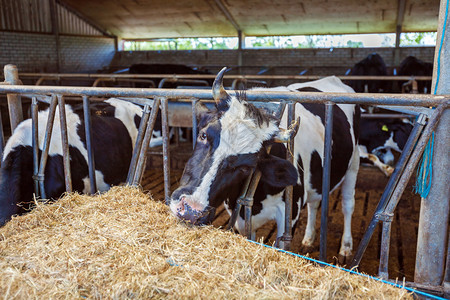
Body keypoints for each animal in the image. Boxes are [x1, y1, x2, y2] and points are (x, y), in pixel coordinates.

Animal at [168, 68, 358, 260]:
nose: (191, 210)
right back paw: (308, 239)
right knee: (314, 204)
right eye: (203, 135)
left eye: (246, 167)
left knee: (348, 205)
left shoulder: (290, 212)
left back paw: (346, 247)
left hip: (354, 164)